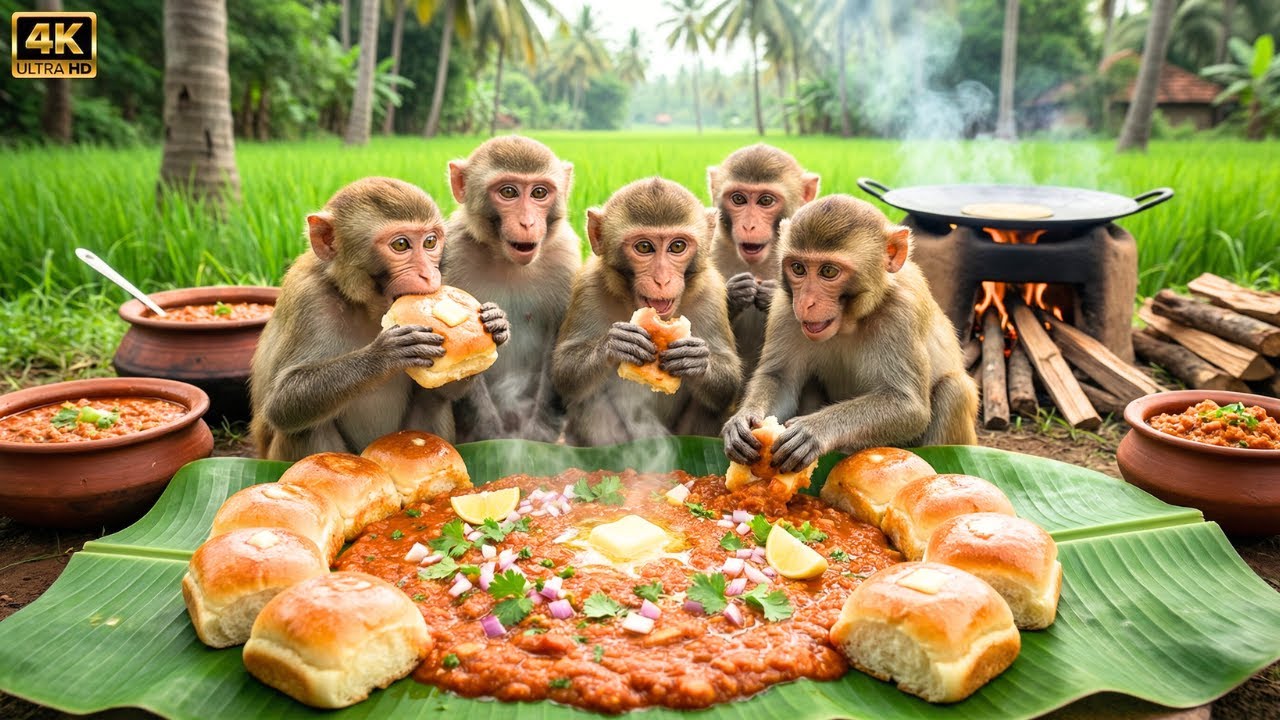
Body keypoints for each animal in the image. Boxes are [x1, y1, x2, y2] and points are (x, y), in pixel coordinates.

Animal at [250, 177, 510, 461]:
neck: (365, 307)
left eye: (430, 242)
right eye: (401, 245)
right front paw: (384, 355)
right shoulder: (308, 300)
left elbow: (443, 388)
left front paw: (496, 321)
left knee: (432, 402)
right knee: (305, 428)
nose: (429, 275)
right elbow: (281, 404)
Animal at [441, 136, 582, 443]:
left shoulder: (565, 259)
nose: (527, 222)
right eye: (508, 192)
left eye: (539, 192)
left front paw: (537, 438)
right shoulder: (452, 255)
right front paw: (491, 437)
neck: (508, 262)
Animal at [552, 177, 743, 446]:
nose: (662, 280)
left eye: (677, 246)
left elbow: (729, 380)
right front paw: (615, 343)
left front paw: (696, 358)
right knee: (590, 400)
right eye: (644, 247)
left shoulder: (712, 292)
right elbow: (564, 372)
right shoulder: (588, 285)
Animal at [723, 194, 978, 472]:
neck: (850, 322)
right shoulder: (784, 308)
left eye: (829, 271)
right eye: (798, 268)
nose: (806, 302)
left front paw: (815, 430)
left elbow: (908, 405)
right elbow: (780, 378)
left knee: (954, 391)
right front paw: (743, 420)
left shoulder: (902, 314)